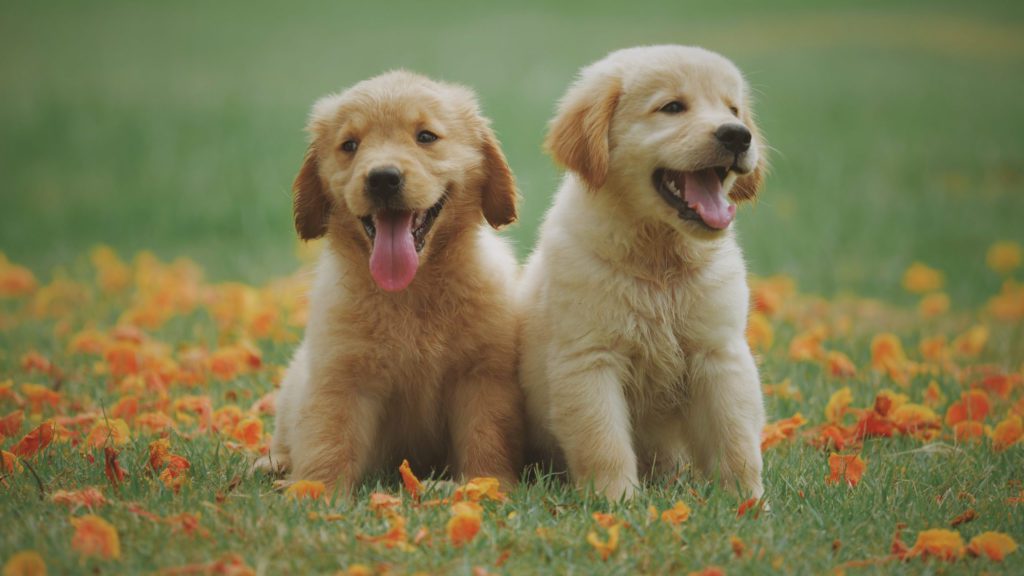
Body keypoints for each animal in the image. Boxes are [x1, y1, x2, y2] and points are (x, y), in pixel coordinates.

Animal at [254, 71, 524, 491]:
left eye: (426, 136)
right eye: (349, 145)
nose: (382, 179)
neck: (410, 291)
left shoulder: (482, 375)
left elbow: (486, 435)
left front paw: (485, 484)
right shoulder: (340, 375)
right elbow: (328, 438)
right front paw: (313, 490)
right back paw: (274, 464)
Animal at [520, 45, 770, 498]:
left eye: (733, 109)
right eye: (672, 107)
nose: (738, 135)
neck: (659, 260)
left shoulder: (719, 354)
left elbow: (737, 438)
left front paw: (749, 502)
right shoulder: (590, 359)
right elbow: (603, 442)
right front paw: (615, 501)